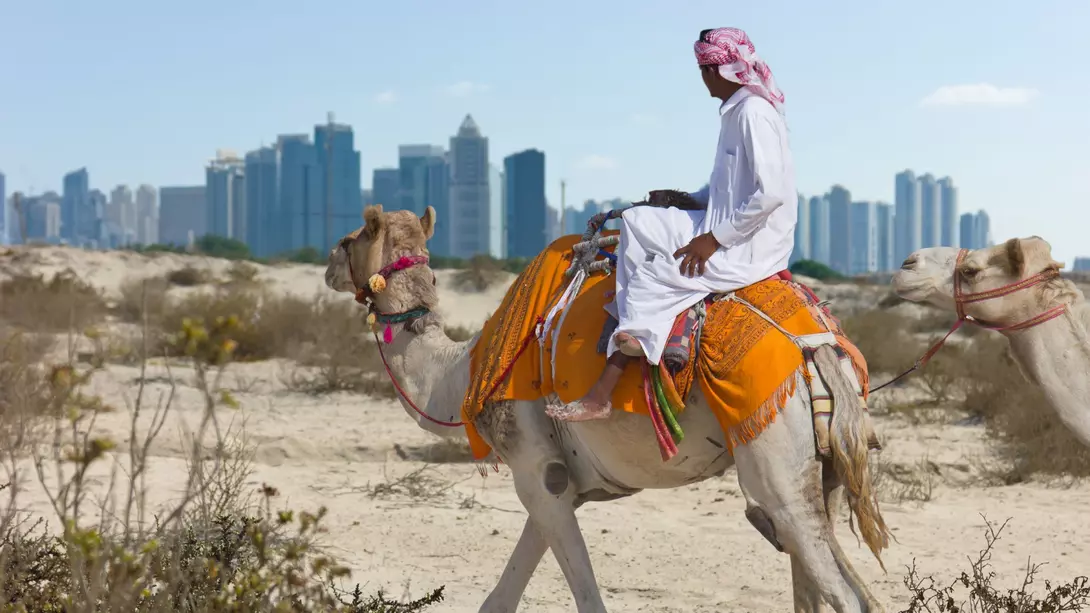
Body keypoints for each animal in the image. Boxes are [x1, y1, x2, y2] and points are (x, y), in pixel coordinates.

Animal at [325, 204, 889, 613]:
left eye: (350, 239)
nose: (330, 263)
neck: (464, 371)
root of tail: (817, 348)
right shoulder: (560, 484)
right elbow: (501, 596)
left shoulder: (536, 471)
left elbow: (587, 599)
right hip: (825, 466)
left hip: (776, 458)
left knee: (835, 581)